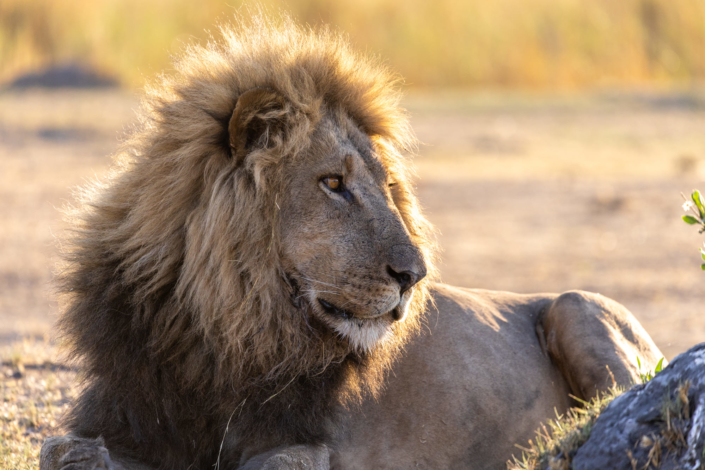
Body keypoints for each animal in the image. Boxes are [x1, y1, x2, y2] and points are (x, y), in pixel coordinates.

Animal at [40, 14, 664, 470]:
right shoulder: (127, 411)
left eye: (388, 187)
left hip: (576, 307)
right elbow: (63, 451)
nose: (414, 276)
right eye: (333, 184)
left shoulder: (318, 446)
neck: (219, 331)